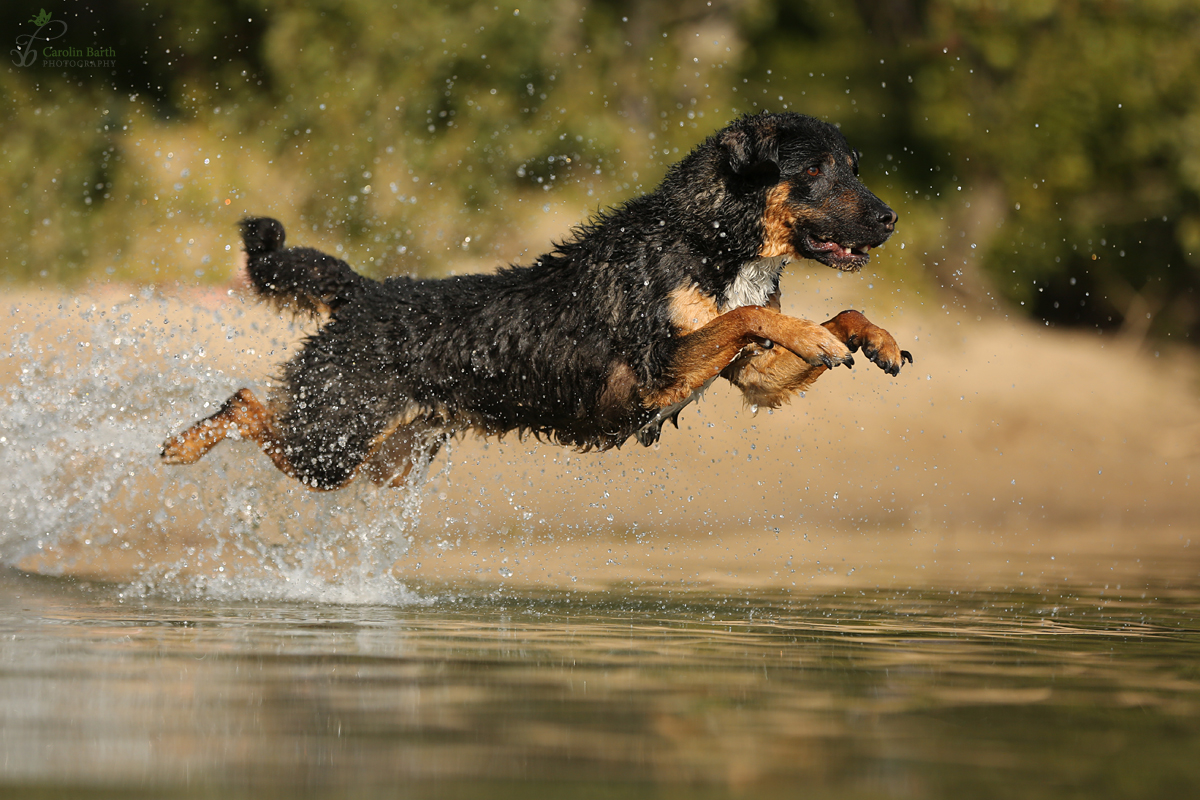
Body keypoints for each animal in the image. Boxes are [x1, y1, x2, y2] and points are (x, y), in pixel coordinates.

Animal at [159, 110, 907, 489]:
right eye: (816, 171)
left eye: (854, 168)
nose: (891, 218)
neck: (707, 236)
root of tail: (366, 292)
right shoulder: (655, 373)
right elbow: (751, 314)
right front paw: (815, 334)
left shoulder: (751, 378)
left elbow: (808, 317)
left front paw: (872, 337)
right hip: (332, 441)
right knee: (246, 404)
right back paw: (183, 444)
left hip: (383, 459)